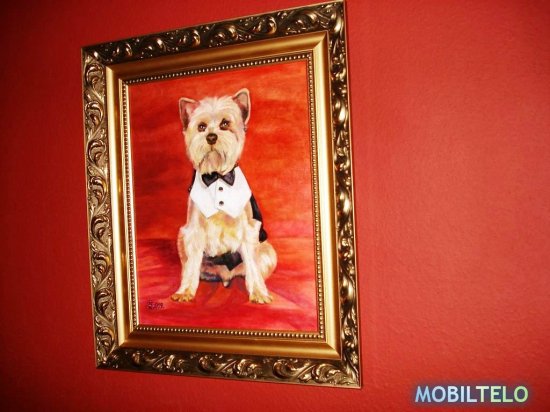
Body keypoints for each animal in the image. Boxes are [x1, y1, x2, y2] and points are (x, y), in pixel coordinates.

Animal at [170, 88, 277, 304]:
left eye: (225, 124)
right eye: (201, 127)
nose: (211, 137)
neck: (217, 176)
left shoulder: (249, 230)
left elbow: (253, 267)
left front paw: (259, 293)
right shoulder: (192, 233)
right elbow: (191, 266)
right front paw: (185, 291)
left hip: (268, 252)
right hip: (181, 239)